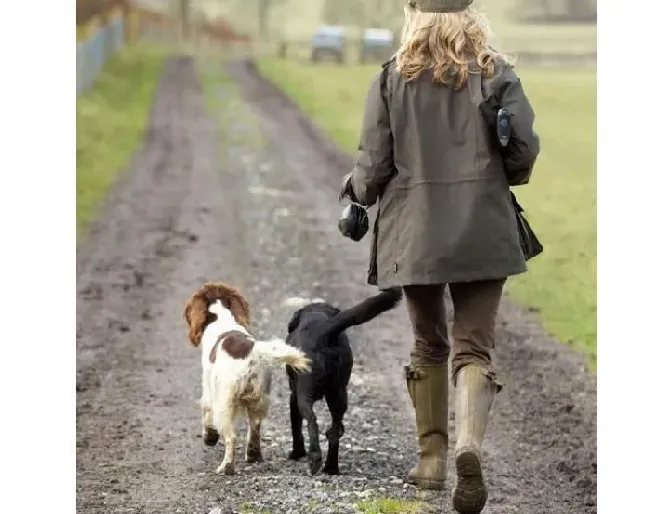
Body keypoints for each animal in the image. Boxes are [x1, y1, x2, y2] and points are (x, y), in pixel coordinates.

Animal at [284, 286, 400, 474]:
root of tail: (322, 334)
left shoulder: (293, 396)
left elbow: (296, 427)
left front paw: (297, 453)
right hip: (339, 392)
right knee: (334, 432)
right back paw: (331, 467)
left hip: (304, 393)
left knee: (312, 421)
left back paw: (315, 459)